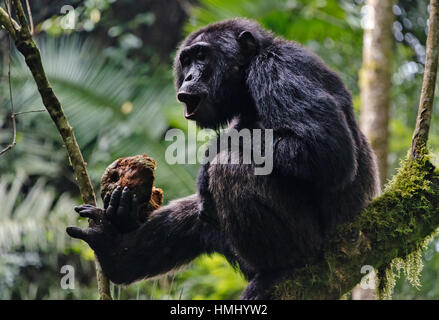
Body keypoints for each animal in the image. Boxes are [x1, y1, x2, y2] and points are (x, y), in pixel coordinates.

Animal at [67, 18, 380, 300]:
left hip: (316, 248)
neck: (246, 80)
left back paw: (278, 271)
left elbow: (325, 148)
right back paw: (115, 249)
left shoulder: (279, 68)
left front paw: (212, 153)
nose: (190, 76)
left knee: (231, 168)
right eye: (186, 60)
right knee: (196, 212)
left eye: (202, 56)